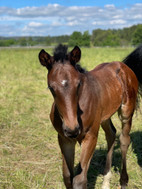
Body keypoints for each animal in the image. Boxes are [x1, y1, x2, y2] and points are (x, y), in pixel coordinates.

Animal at [38, 44, 142, 189]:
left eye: (78, 84)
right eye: (51, 88)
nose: (72, 129)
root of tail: (123, 65)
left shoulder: (90, 136)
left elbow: (79, 180)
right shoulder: (64, 139)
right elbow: (67, 177)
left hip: (126, 111)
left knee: (124, 140)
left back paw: (123, 181)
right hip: (104, 116)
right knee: (111, 134)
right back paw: (105, 182)